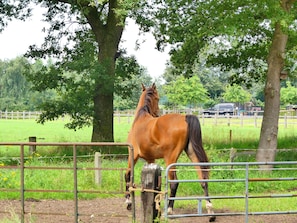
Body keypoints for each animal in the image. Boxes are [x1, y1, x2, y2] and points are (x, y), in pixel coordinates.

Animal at [125, 83, 215, 221]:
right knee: (203, 179)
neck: (140, 119)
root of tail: (185, 117)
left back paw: (169, 210)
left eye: (157, 98)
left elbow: (128, 175)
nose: (156, 113)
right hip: (192, 153)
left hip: (170, 159)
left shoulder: (133, 156)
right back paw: (211, 212)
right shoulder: (150, 159)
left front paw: (128, 202)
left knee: (174, 182)